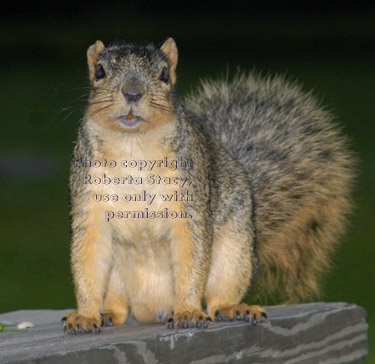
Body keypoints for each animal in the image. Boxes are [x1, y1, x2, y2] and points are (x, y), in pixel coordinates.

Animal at [61, 37, 356, 332]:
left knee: (217, 297)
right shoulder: (90, 205)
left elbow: (192, 255)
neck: (131, 144)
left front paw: (188, 311)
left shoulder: (189, 202)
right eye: (100, 71)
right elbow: (87, 260)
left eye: (164, 74)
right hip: (118, 277)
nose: (132, 92)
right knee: (118, 303)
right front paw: (85, 315)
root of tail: (155, 307)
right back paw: (107, 313)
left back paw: (231, 308)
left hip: (234, 253)